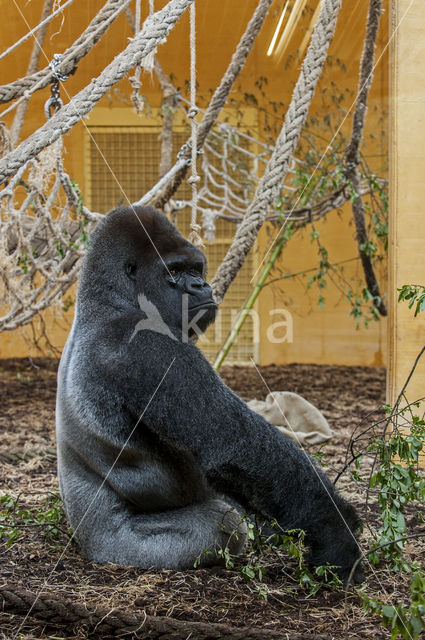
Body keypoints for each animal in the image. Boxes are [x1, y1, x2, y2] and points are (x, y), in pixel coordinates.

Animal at [54, 208, 362, 584]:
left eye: (195, 268)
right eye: (174, 271)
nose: (201, 286)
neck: (108, 301)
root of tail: (84, 543)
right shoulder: (150, 347)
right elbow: (236, 447)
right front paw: (337, 535)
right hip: (124, 549)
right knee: (224, 523)